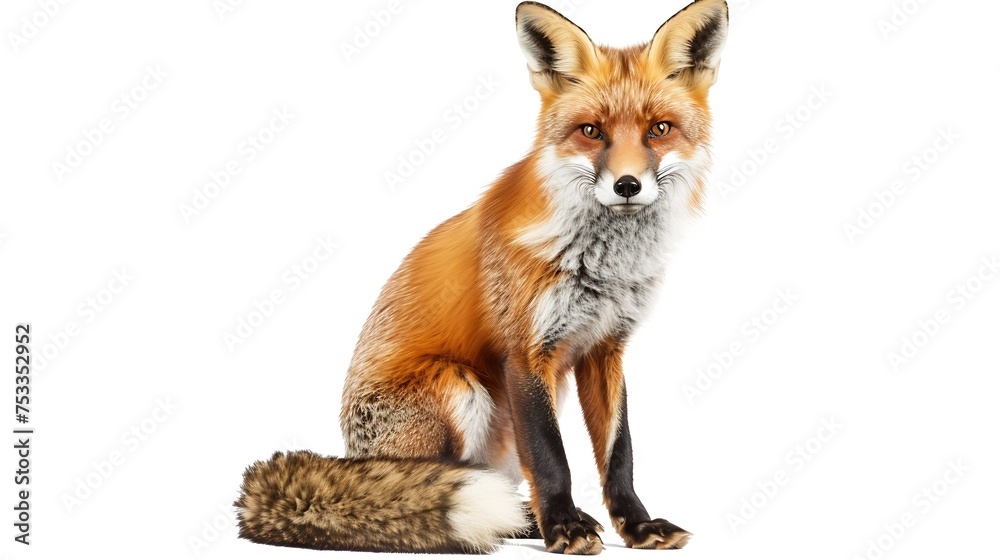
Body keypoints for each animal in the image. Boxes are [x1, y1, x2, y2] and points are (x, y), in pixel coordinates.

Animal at [236, 0, 728, 554]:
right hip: (459, 386)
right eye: (591, 131)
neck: (605, 265)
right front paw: (565, 526)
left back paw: (525, 520)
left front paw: (637, 526)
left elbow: (618, 455)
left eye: (659, 130)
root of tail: (354, 453)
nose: (627, 185)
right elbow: (552, 457)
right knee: (434, 486)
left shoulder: (606, 349)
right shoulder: (526, 351)